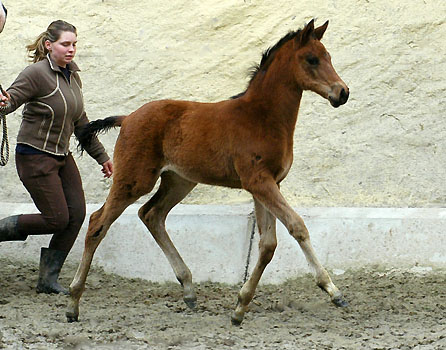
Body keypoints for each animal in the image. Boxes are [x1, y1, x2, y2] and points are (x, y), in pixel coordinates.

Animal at [67, 19, 348, 326]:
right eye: (312, 59)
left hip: (179, 181)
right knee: (97, 223)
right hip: (135, 179)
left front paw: (240, 307)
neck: (261, 117)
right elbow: (297, 226)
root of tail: (128, 117)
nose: (342, 92)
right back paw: (73, 303)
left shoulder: (269, 184)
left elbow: (268, 244)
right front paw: (333, 291)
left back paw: (189, 290)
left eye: (329, 57)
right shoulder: (259, 182)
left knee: (151, 215)